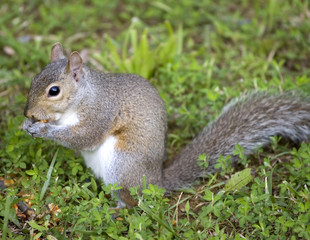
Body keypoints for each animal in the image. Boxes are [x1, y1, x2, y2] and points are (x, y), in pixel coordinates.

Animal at [23, 43, 310, 208]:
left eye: (54, 91)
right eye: (34, 78)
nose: (28, 112)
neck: (82, 97)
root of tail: (156, 182)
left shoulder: (101, 113)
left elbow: (84, 137)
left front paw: (42, 130)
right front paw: (28, 124)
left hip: (122, 164)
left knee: (133, 202)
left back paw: (116, 210)